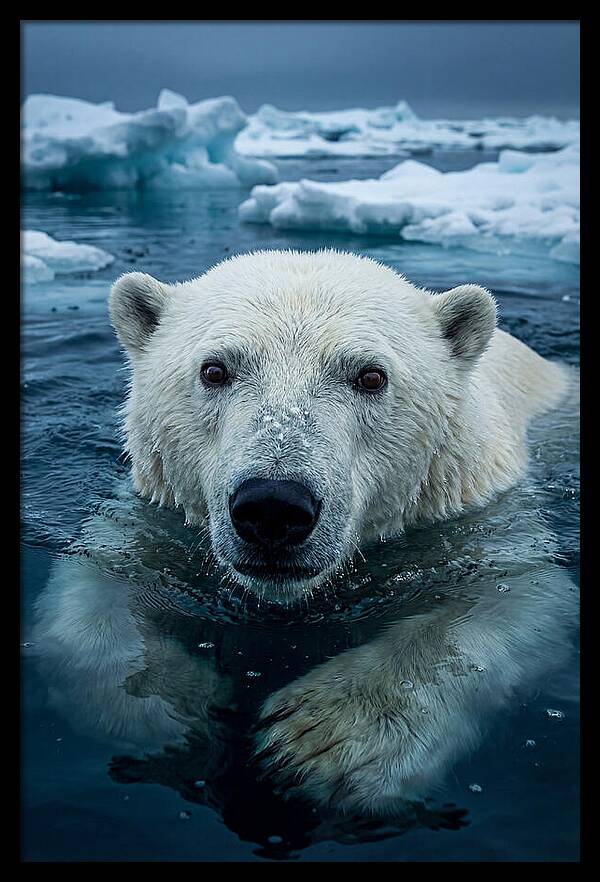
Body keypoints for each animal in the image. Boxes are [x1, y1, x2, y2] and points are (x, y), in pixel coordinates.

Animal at [31, 250, 578, 838]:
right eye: (215, 369)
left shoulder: (478, 517)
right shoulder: (154, 519)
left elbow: (515, 599)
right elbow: (95, 591)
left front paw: (323, 741)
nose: (273, 506)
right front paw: (173, 709)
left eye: (370, 375)